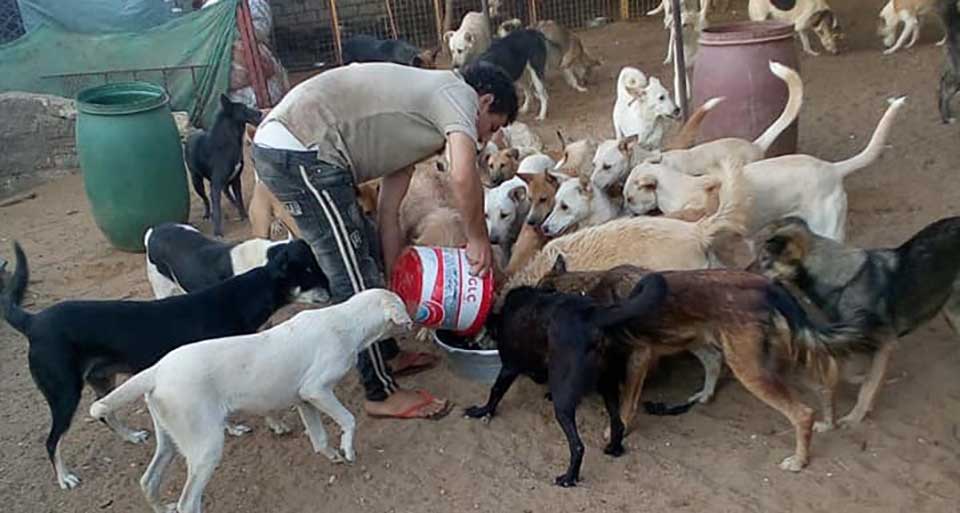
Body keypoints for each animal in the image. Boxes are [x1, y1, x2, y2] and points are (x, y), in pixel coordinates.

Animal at [0, 239, 326, 488]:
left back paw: (130, 436)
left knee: (105, 414)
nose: (332, 288)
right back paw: (65, 477)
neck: (237, 300)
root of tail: (32, 321)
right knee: (52, 441)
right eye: (310, 272)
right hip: (64, 394)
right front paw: (255, 426)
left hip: (102, 380)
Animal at [185, 94, 262, 236]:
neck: (228, 143)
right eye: (244, 108)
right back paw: (207, 214)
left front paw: (243, 215)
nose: (260, 112)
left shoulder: (236, 179)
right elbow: (217, 210)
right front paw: (217, 232)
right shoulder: (215, 185)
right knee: (205, 199)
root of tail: (191, 135)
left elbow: (240, 200)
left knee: (226, 192)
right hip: (196, 181)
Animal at [466, 272, 676, 484]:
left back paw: (568, 478)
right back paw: (614, 449)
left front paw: (482, 411)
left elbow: (495, 391)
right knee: (617, 424)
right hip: (607, 384)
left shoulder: (510, 366)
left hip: (564, 403)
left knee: (577, 446)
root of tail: (594, 316)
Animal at [536, 256, 880, 472]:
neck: (585, 289)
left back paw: (799, 460)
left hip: (750, 368)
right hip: (720, 344)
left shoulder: (639, 355)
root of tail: (766, 286)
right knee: (824, 380)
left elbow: (626, 404)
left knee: (802, 412)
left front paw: (617, 430)